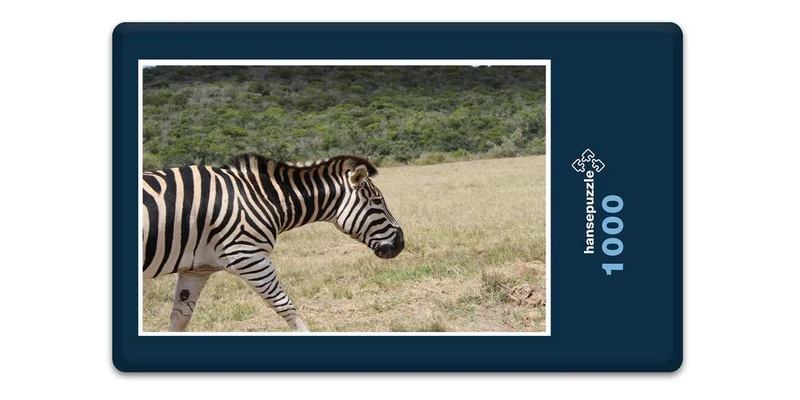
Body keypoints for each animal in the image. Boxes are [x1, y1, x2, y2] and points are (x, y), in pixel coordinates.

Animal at [142, 154, 404, 332]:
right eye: (377, 202)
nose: (401, 243)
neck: (263, 198)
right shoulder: (249, 257)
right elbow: (285, 305)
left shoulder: (197, 269)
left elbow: (180, 318)